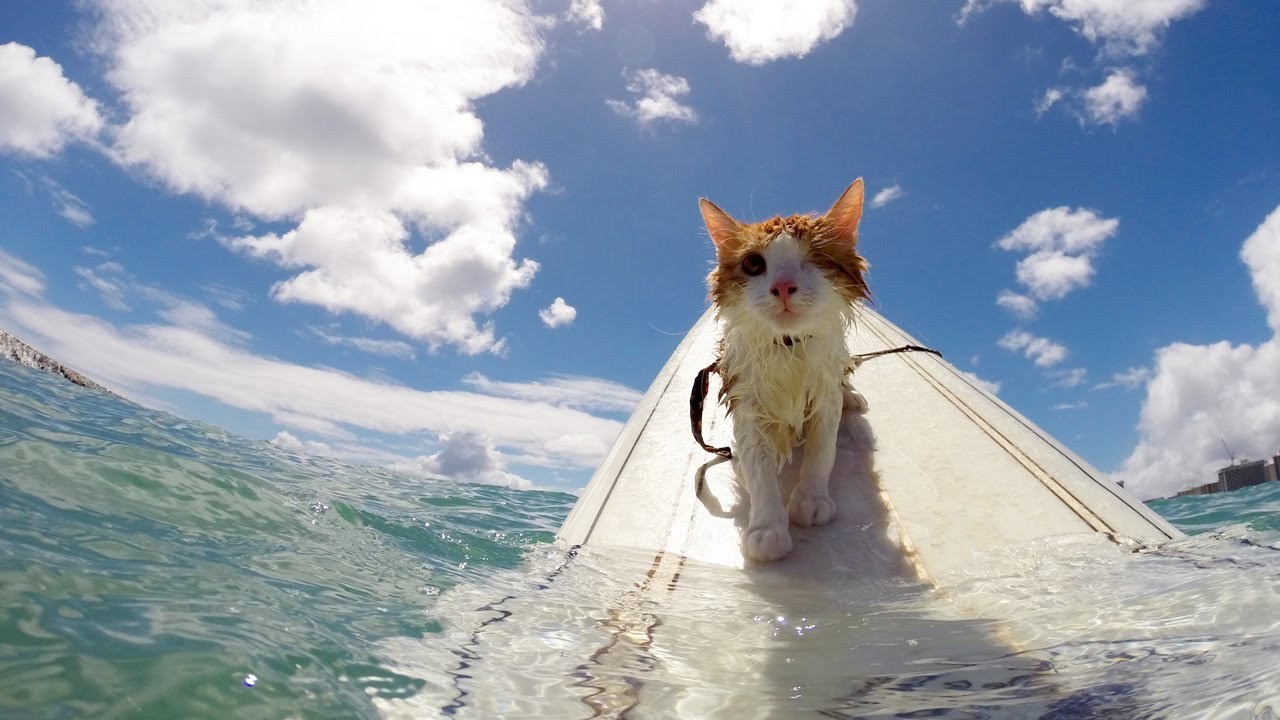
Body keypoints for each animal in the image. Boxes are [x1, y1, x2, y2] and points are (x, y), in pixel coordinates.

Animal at [696, 180, 875, 561]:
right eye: (753, 264)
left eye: (815, 259)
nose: (782, 287)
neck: (789, 347)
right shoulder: (746, 400)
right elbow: (759, 469)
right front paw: (767, 528)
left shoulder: (824, 394)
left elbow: (822, 450)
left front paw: (811, 499)